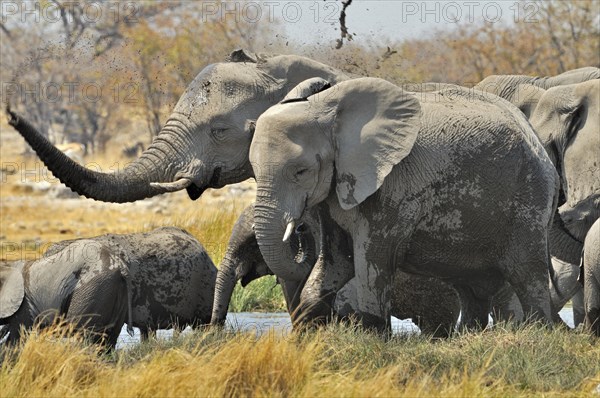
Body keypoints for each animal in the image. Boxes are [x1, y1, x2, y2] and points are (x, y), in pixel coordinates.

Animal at [248, 76, 556, 332]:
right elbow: (336, 260)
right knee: (471, 288)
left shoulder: (390, 187)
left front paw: (374, 341)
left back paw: (538, 334)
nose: (299, 231)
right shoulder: (336, 190)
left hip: (529, 199)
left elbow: (372, 262)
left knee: (528, 275)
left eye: (300, 172)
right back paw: (470, 337)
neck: (328, 110)